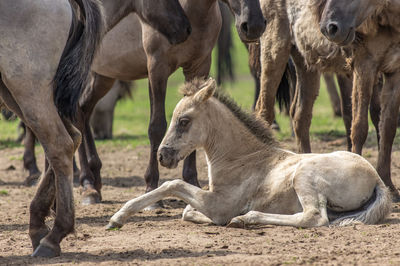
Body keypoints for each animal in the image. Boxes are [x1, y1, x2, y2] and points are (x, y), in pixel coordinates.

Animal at [75, 0, 268, 205]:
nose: (254, 26)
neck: (191, 12)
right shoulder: (157, 68)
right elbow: (156, 126)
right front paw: (151, 188)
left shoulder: (199, 66)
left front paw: (192, 182)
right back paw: (87, 185)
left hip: (103, 76)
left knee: (83, 111)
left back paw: (95, 180)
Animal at [105, 78, 390, 230]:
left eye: (184, 121)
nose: (163, 155)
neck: (241, 158)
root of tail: (377, 179)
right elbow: (186, 210)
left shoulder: (219, 203)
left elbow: (172, 185)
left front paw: (117, 218)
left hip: (305, 177)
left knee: (314, 217)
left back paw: (245, 218)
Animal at [318, 0, 400, 198]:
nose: (328, 28)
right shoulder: (364, 63)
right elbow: (359, 127)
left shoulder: (395, 70)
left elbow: (387, 128)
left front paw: (388, 184)